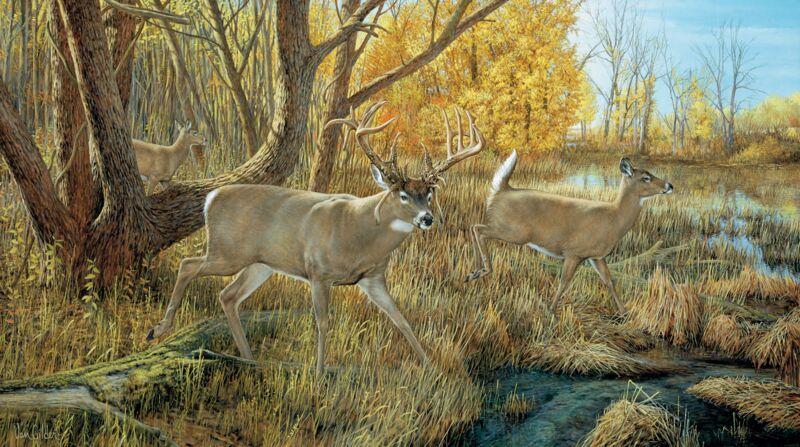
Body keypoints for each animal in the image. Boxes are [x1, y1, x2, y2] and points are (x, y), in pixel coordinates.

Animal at [146, 102, 485, 380]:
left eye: (428, 194)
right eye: (402, 194)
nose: (427, 219)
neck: (359, 234)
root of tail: (211, 197)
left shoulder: (372, 278)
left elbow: (401, 320)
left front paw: (431, 367)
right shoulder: (319, 273)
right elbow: (322, 322)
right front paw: (320, 373)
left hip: (260, 264)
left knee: (228, 295)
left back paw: (249, 359)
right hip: (227, 252)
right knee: (188, 265)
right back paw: (158, 330)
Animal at [464, 152, 673, 315]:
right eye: (645, 178)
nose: (670, 185)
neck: (613, 219)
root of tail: (501, 190)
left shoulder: (596, 256)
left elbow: (608, 281)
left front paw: (624, 312)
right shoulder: (574, 252)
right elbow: (564, 281)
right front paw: (551, 311)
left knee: (474, 227)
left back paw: (473, 272)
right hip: (514, 231)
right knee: (478, 229)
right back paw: (483, 270)